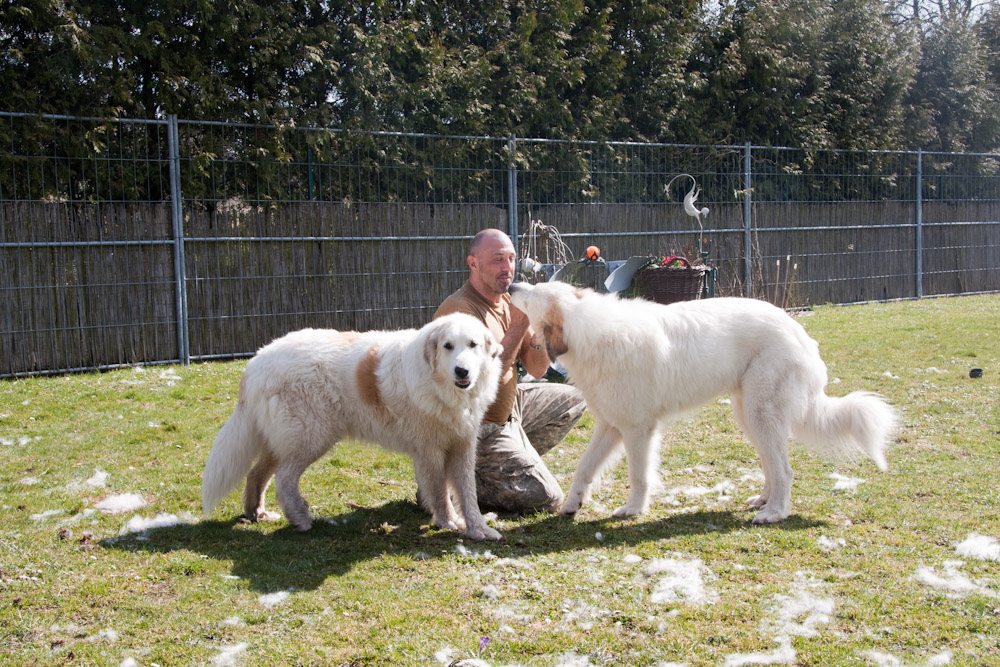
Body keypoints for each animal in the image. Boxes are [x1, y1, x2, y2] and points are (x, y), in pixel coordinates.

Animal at [200, 314, 504, 544]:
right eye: (448, 346)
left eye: (473, 345)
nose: (462, 371)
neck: (444, 390)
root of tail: (255, 362)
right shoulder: (430, 450)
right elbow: (441, 491)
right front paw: (448, 522)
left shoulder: (462, 445)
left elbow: (467, 493)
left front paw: (478, 529)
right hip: (311, 436)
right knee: (284, 478)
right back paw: (300, 518)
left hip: (282, 440)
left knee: (256, 474)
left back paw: (256, 513)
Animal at [508, 280, 900, 524]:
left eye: (531, 294)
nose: (511, 286)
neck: (588, 330)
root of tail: (799, 331)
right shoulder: (610, 425)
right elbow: (584, 468)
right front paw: (572, 506)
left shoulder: (637, 430)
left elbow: (639, 475)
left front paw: (633, 510)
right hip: (749, 415)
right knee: (772, 465)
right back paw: (762, 500)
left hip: (760, 412)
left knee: (785, 470)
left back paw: (773, 513)